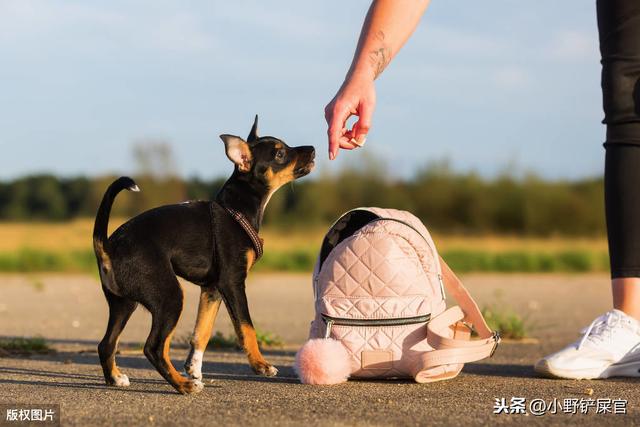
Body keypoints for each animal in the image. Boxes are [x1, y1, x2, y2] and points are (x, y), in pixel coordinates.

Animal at [92, 116, 316, 394]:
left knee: (107, 343)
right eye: (280, 154)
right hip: (169, 296)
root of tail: (107, 246)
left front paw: (194, 368)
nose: (313, 149)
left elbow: (202, 332)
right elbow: (246, 327)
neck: (236, 209)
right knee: (154, 347)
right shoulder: (232, 283)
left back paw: (117, 378)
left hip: (123, 303)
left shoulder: (212, 290)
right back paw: (183, 385)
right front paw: (260, 365)